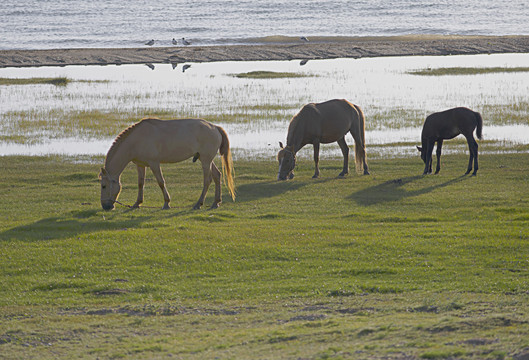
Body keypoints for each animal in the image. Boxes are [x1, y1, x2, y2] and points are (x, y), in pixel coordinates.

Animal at [99, 117, 235, 211]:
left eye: (104, 186)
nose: (105, 206)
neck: (136, 140)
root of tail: (215, 127)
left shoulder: (154, 163)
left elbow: (161, 182)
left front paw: (166, 203)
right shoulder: (140, 165)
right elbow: (140, 183)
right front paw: (137, 203)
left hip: (206, 161)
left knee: (207, 180)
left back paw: (198, 204)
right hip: (205, 159)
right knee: (217, 175)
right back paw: (216, 202)